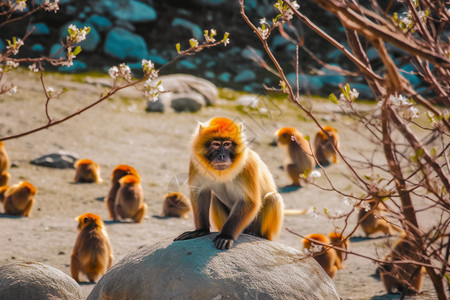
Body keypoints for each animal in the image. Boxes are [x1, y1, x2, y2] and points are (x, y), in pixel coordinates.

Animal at [174, 117, 284, 251]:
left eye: (227, 144)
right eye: (216, 144)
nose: (222, 155)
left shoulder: (248, 164)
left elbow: (249, 201)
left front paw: (226, 235)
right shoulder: (196, 161)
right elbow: (199, 192)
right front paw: (201, 230)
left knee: (273, 198)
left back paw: (257, 234)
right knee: (215, 199)